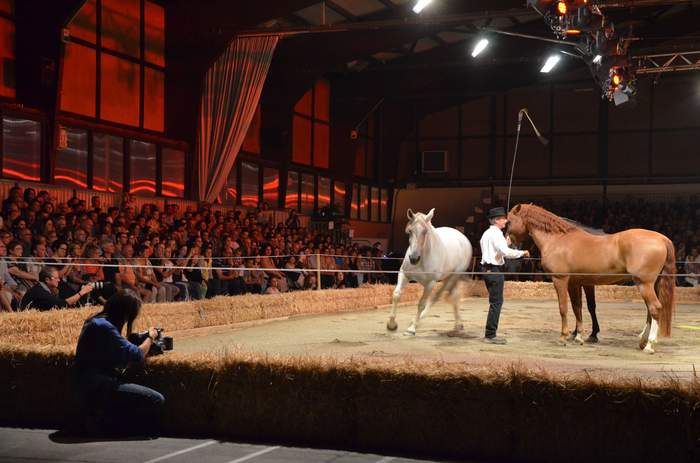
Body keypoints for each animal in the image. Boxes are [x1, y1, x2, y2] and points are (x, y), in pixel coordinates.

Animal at [386, 210, 474, 338]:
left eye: (425, 231)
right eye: (409, 231)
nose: (413, 258)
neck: (423, 259)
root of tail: (462, 237)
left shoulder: (430, 284)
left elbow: (422, 303)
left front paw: (411, 329)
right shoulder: (404, 275)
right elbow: (396, 295)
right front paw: (391, 325)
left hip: (452, 277)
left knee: (437, 297)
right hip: (449, 278)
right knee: (454, 296)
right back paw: (458, 325)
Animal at [506, 205, 676, 354]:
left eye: (509, 221)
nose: (509, 245)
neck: (558, 239)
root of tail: (662, 238)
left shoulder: (560, 279)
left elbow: (563, 308)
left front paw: (563, 337)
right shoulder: (575, 282)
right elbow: (577, 307)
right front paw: (579, 336)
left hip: (644, 284)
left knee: (654, 308)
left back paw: (649, 345)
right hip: (650, 284)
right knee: (649, 311)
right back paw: (642, 341)